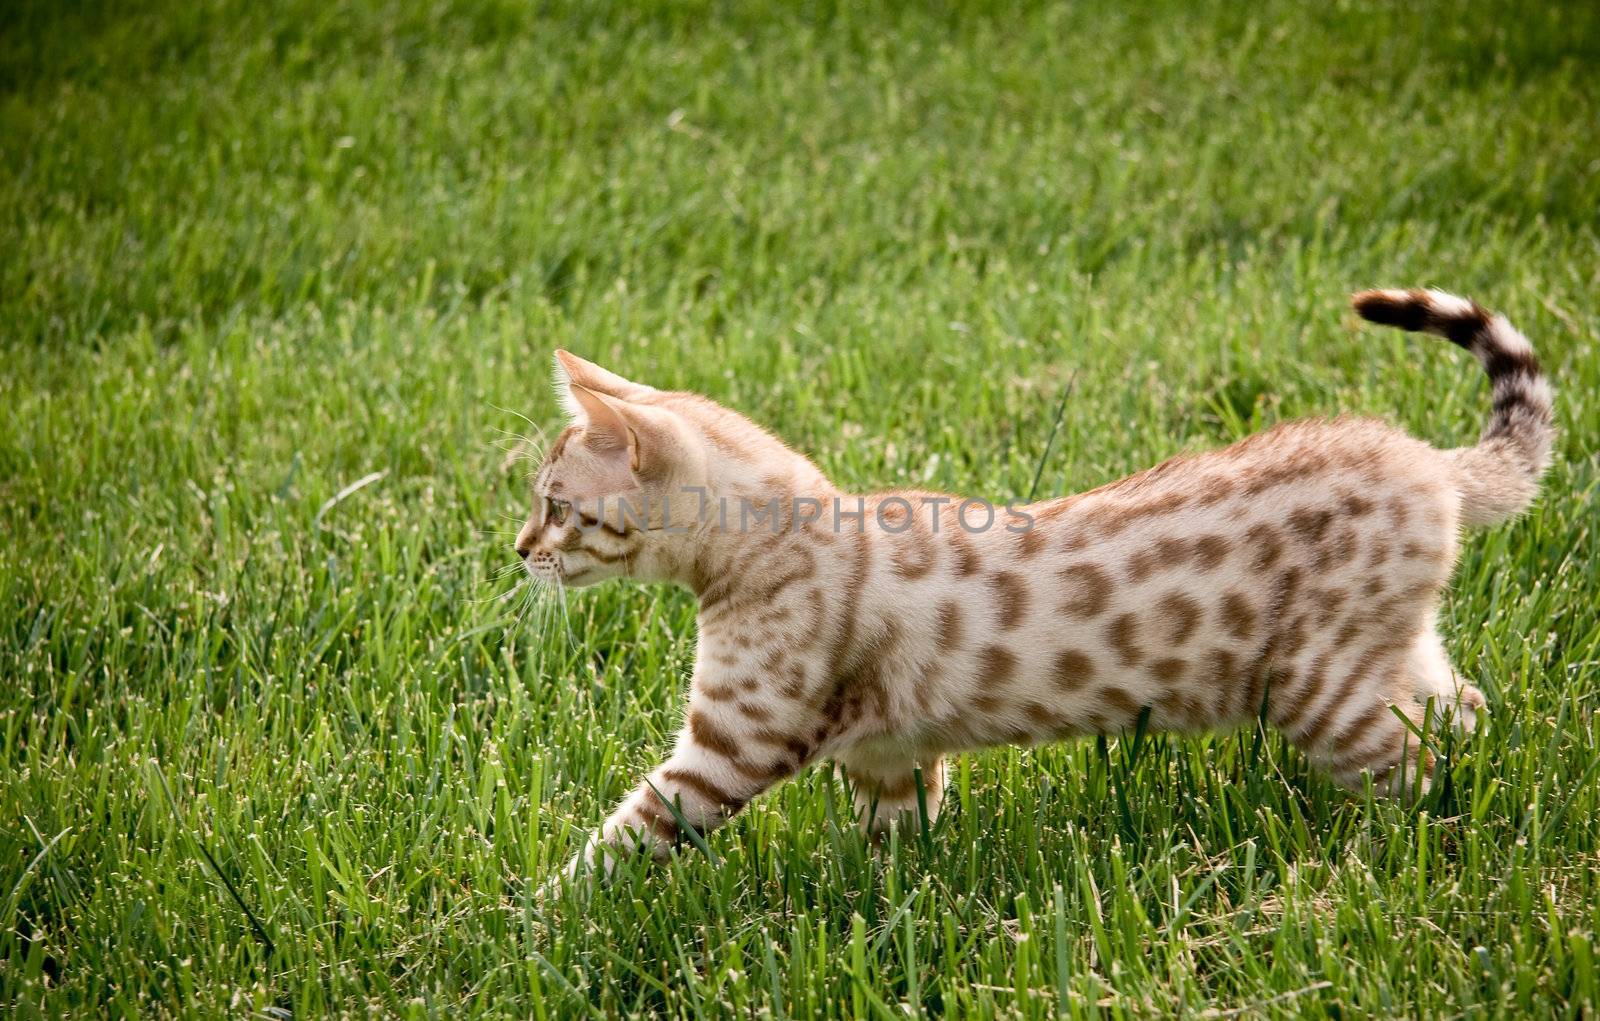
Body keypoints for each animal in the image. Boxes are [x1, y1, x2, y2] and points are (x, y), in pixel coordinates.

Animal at [521, 288, 1548, 883]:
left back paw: (1391, 862)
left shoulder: (730, 746)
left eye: (557, 505)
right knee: (1465, 711)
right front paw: (886, 912)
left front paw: (538, 914)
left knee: (1416, 776)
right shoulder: (891, 758)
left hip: (1318, 691)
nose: (518, 548)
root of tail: (1427, 460)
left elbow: (619, 838)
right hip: (1384, 658)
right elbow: (891, 856)